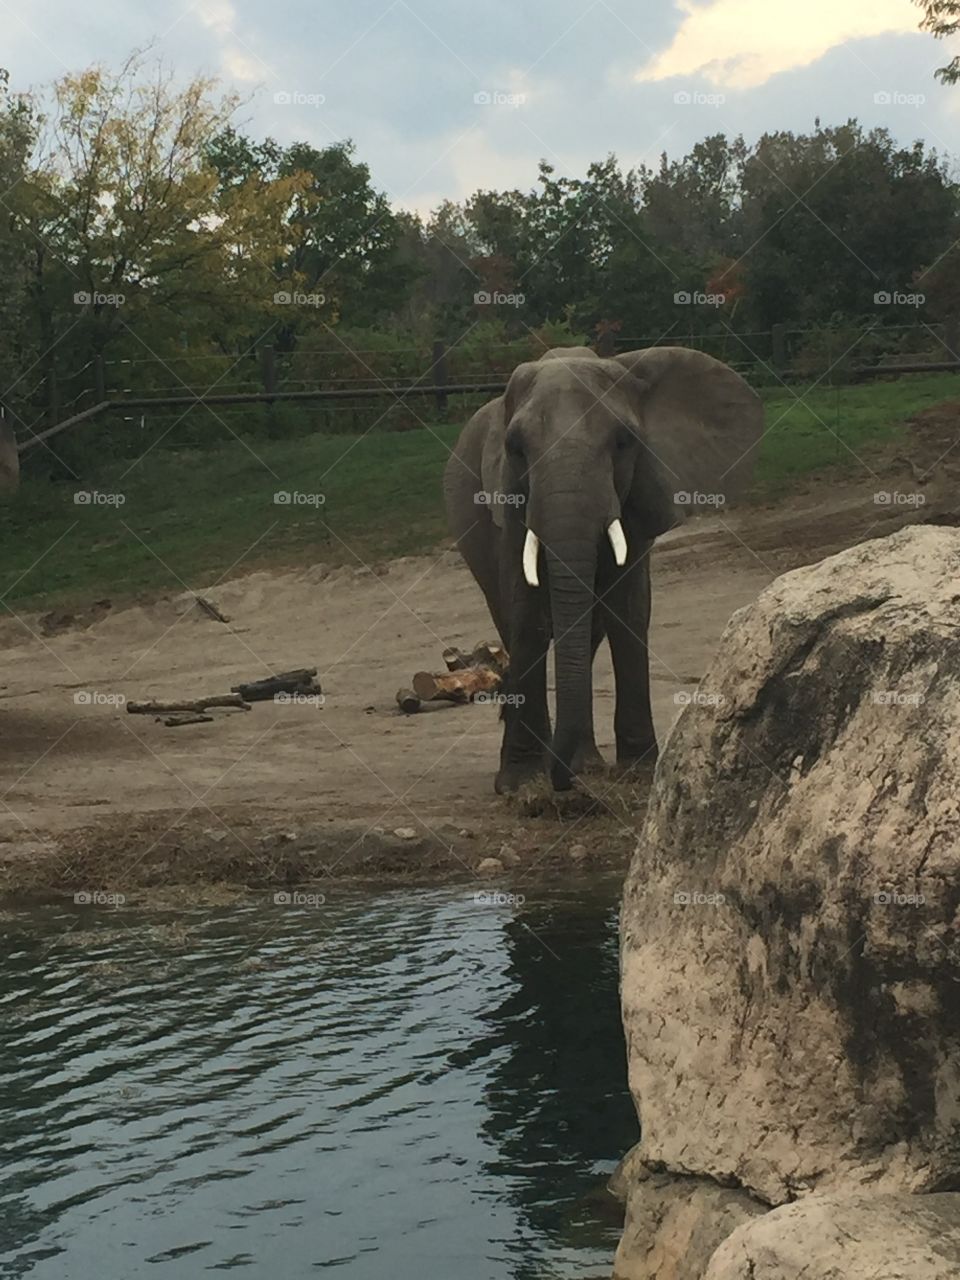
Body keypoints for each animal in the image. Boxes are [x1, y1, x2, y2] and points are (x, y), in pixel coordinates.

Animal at [443, 345, 762, 793]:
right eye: (515, 448)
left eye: (623, 442)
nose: (562, 780)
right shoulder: (509, 502)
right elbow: (526, 615)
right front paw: (521, 784)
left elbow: (629, 610)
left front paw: (640, 771)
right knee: (508, 618)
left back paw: (584, 761)